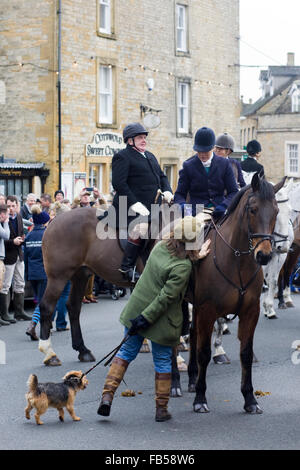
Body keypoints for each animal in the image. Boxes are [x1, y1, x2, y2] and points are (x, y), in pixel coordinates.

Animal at [178, 174, 284, 414]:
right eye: (253, 209)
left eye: (276, 211)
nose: (264, 255)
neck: (237, 261)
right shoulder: (208, 310)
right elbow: (204, 352)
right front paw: (200, 398)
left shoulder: (250, 312)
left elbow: (245, 353)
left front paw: (250, 398)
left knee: (193, 332)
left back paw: (192, 377)